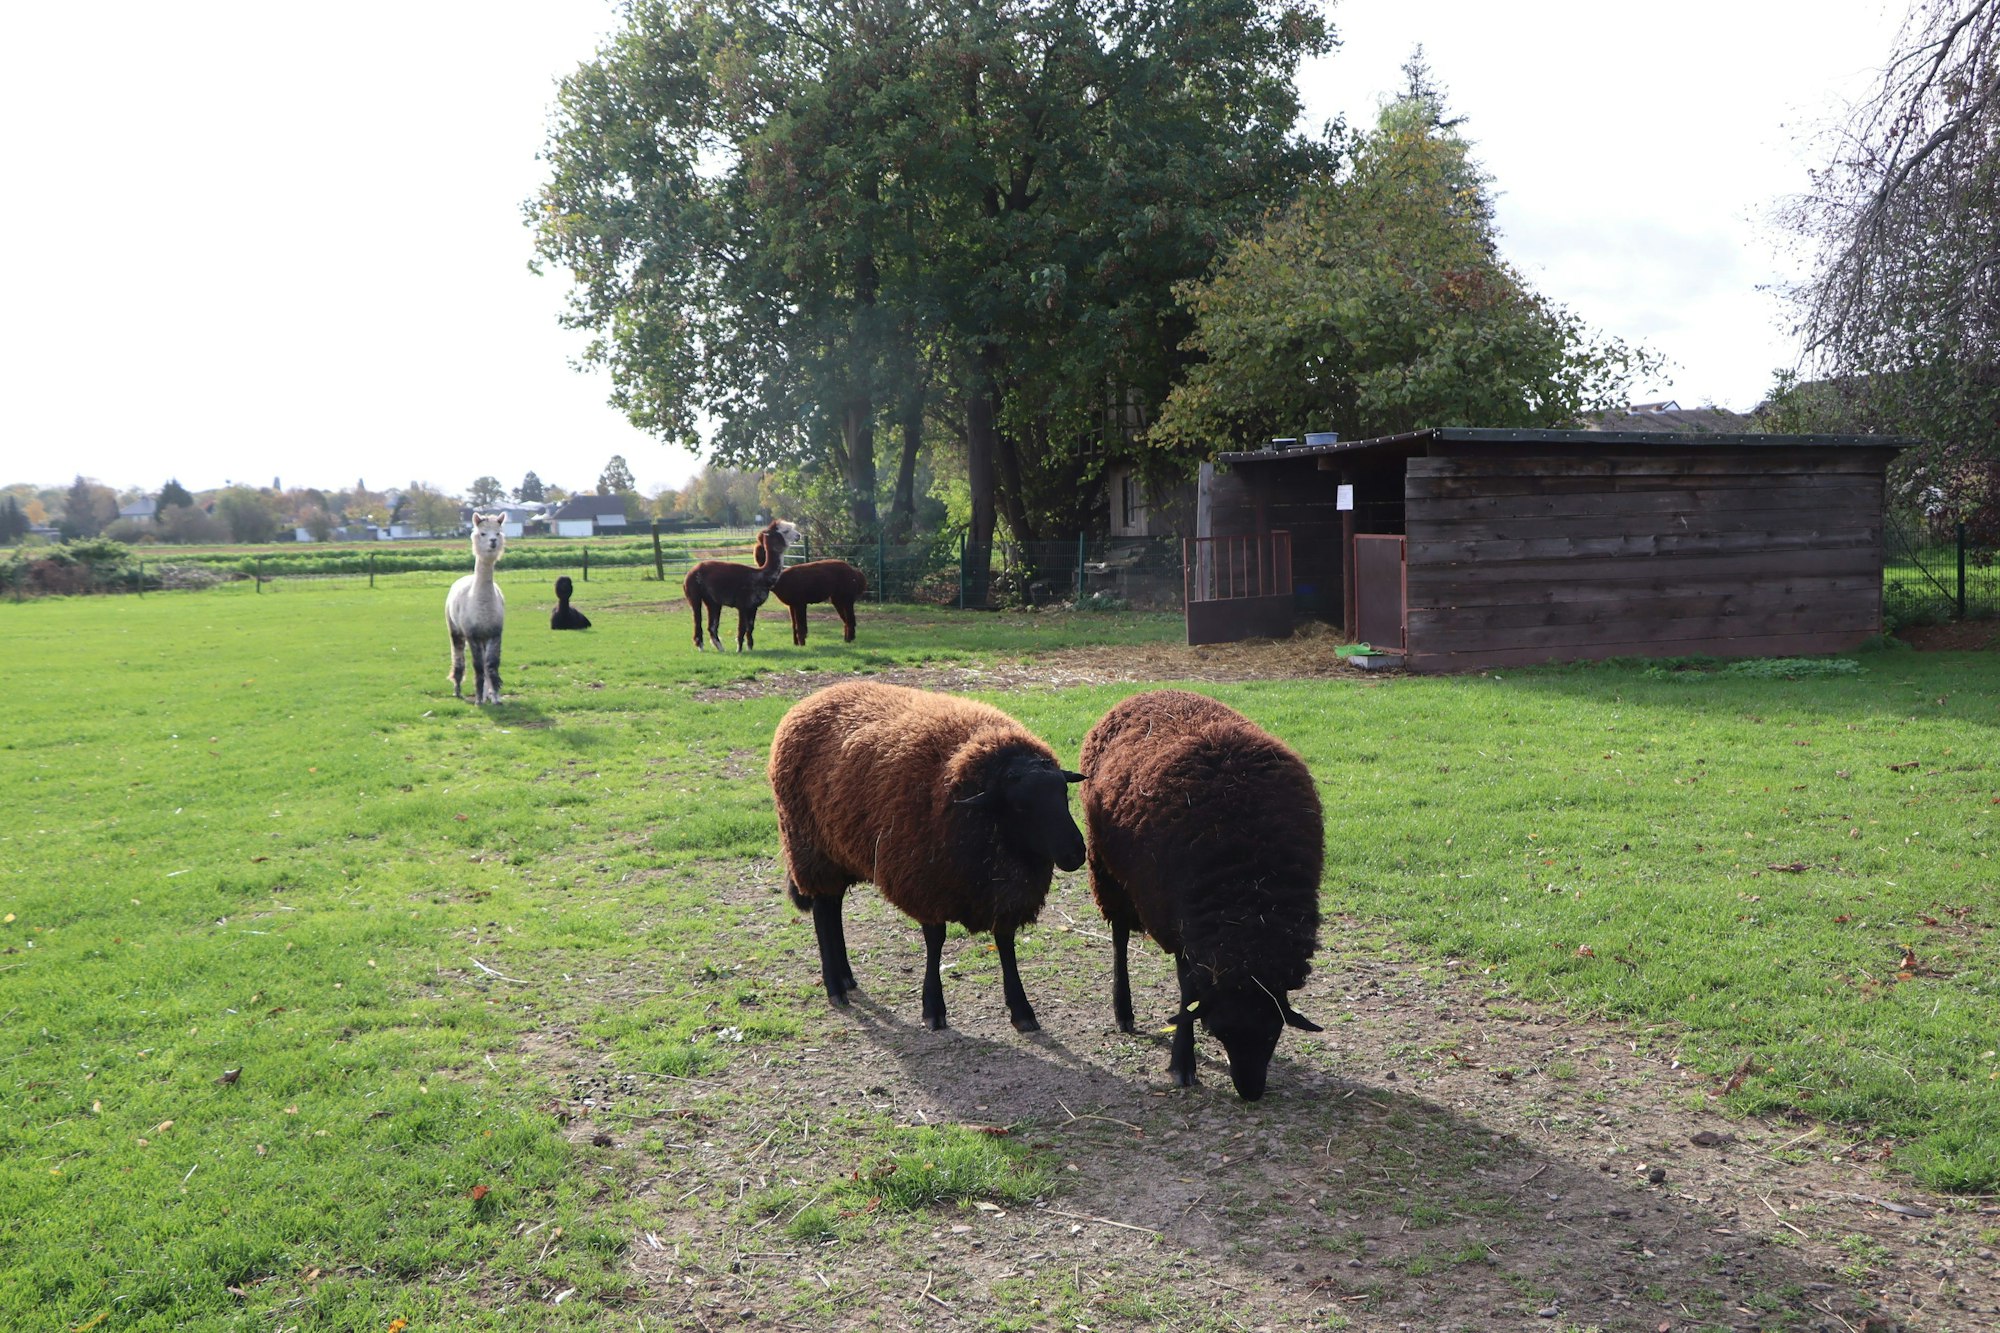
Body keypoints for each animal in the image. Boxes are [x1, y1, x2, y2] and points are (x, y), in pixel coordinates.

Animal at [768, 680, 1086, 1032]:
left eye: (1064, 793)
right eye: (1020, 806)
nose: (1077, 851)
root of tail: (815, 697)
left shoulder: (1001, 895)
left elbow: (1005, 943)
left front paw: (1021, 1009)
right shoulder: (926, 884)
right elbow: (936, 942)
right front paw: (933, 1007)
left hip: (837, 853)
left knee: (832, 907)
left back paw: (846, 977)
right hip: (811, 851)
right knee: (823, 913)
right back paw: (835, 986)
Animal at [1079, 689, 1323, 1100]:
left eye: (1273, 1033)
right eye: (1219, 1032)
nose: (1251, 1092)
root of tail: (1145, 692)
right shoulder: (1180, 924)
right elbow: (1186, 991)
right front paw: (1182, 1062)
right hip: (1106, 871)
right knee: (1119, 937)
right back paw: (1123, 1010)